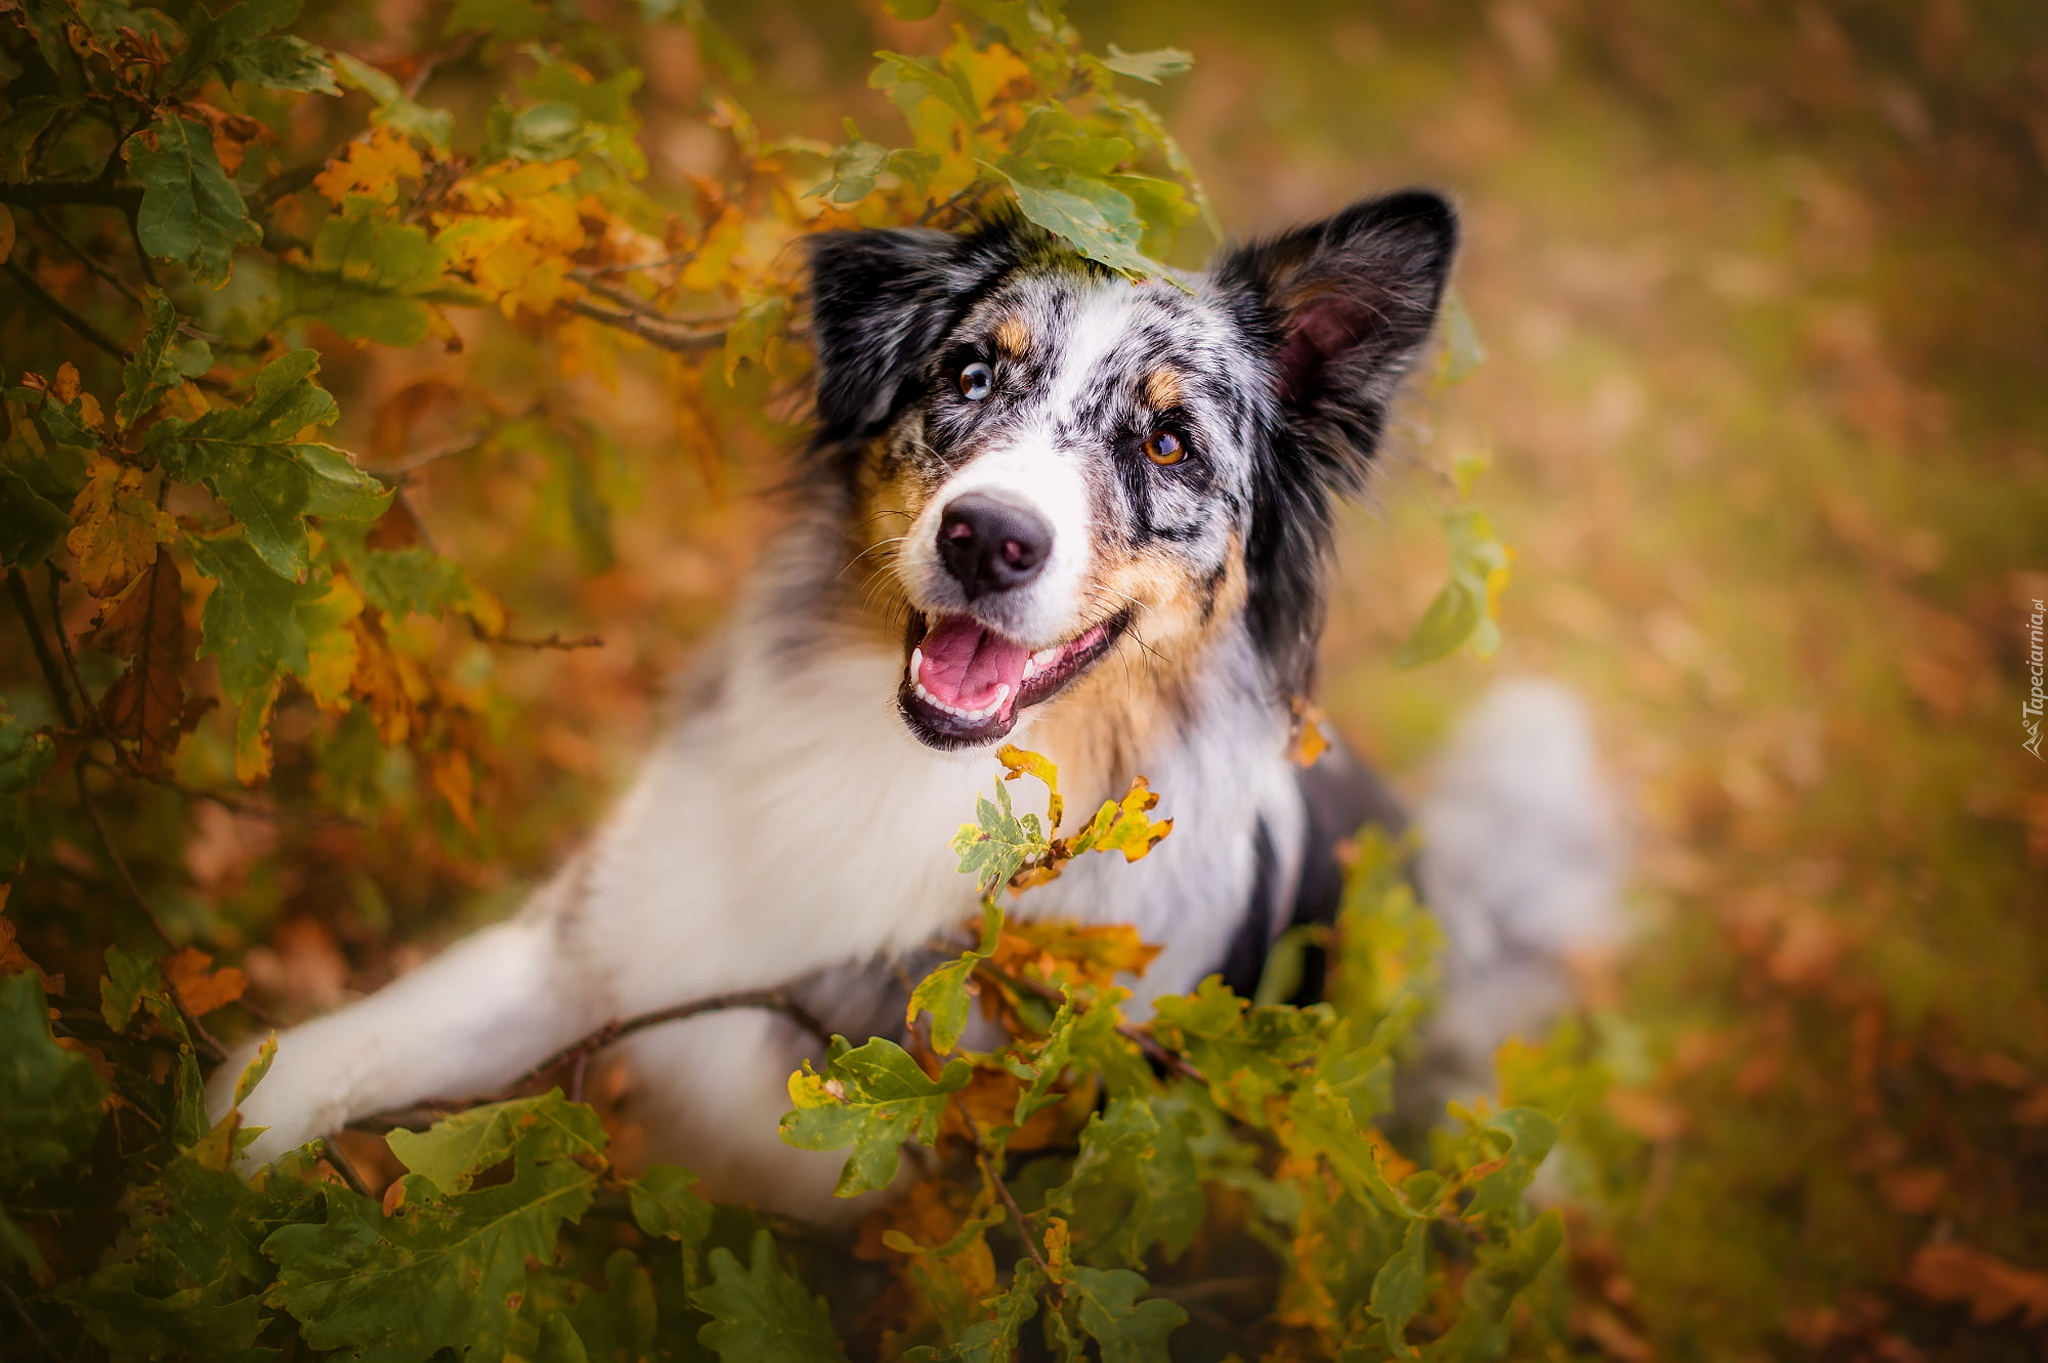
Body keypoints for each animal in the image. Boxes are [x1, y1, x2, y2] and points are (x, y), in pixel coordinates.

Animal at [203, 188, 1613, 1211]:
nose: (988, 538)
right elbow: (376, 1034)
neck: (912, 776)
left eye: (1166, 444)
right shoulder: (599, 933)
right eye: (970, 375)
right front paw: (228, 1129)